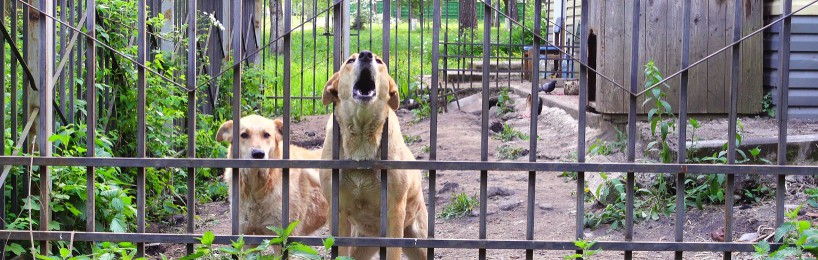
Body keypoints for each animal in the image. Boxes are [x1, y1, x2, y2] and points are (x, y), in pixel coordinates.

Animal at [318, 51, 428, 260]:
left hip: (419, 241)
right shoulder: (338, 211)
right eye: (350, 61)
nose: (366, 55)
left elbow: (393, 251)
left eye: (379, 61)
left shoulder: (394, 209)